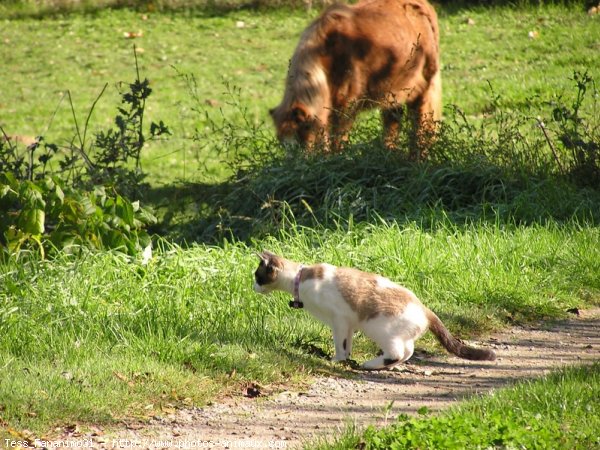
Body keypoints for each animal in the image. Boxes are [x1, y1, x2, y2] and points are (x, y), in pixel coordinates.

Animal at [253, 250, 496, 370]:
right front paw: (344, 359)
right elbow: (347, 345)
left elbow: (340, 346)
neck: (299, 280)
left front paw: (337, 360)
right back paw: (380, 366)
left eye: (257, 276)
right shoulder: (348, 325)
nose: (253, 287)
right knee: (407, 352)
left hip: (379, 329)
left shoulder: (339, 321)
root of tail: (425, 308)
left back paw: (369, 364)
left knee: (398, 353)